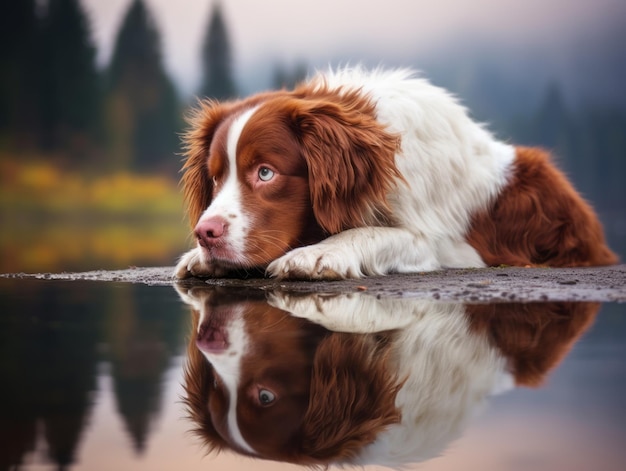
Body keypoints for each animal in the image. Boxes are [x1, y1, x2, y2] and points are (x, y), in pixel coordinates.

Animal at [174, 67, 616, 280]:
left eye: (265, 173)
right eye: (215, 178)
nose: (205, 233)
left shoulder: (442, 244)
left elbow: (370, 232)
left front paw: (317, 253)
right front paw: (197, 256)